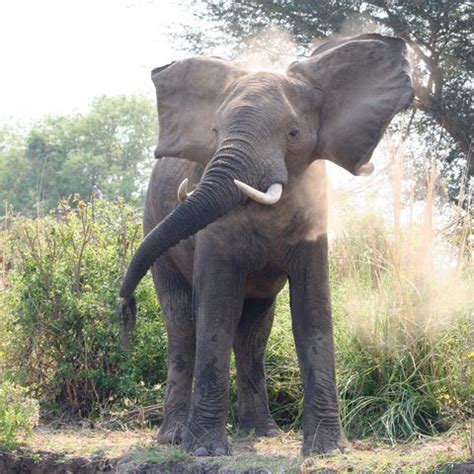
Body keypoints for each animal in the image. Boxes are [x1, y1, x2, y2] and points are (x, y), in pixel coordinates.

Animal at [120, 33, 412, 456]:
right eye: (214, 133)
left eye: (293, 133)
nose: (124, 312)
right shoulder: (214, 235)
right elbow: (215, 312)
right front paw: (205, 451)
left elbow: (312, 311)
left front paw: (328, 451)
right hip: (153, 224)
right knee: (183, 323)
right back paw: (174, 436)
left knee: (254, 332)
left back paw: (262, 432)